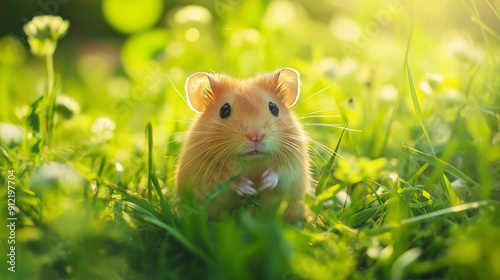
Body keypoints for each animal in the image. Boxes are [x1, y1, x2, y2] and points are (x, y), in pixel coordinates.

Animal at [175, 68, 308, 223]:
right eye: (224, 110)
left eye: (274, 108)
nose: (255, 136)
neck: (251, 159)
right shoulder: (203, 172)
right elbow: (226, 180)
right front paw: (249, 188)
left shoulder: (295, 162)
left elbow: (282, 172)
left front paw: (264, 182)